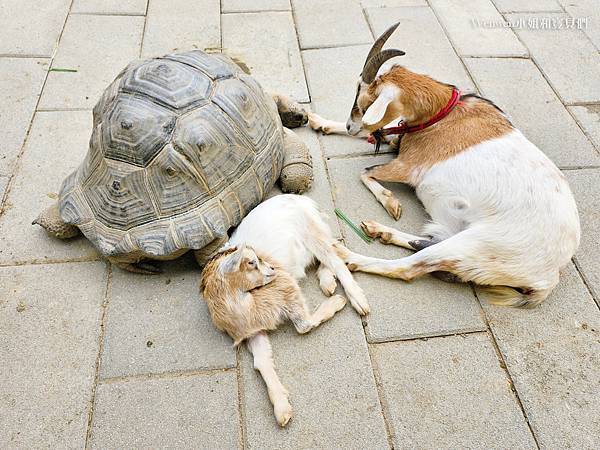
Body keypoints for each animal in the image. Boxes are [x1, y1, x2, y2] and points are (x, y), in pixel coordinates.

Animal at [202, 193, 368, 426]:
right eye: (252, 263)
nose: (273, 269)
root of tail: (301, 200)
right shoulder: (253, 332)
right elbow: (262, 362)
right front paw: (282, 410)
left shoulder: (287, 289)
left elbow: (303, 325)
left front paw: (337, 302)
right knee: (330, 252)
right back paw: (327, 282)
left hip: (311, 232)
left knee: (334, 258)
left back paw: (357, 300)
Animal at [308, 22, 580, 308]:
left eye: (364, 105)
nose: (350, 126)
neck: (443, 113)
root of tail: (549, 278)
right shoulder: (401, 138)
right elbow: (375, 138)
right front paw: (320, 122)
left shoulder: (407, 166)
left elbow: (365, 172)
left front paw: (390, 202)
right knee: (428, 242)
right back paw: (380, 231)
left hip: (473, 246)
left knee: (407, 268)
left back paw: (347, 253)